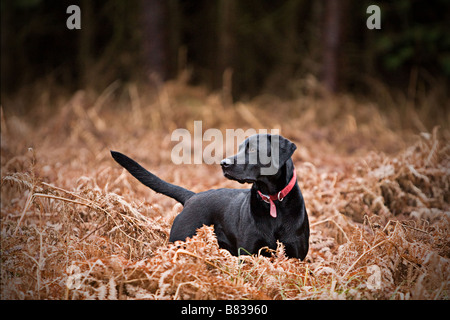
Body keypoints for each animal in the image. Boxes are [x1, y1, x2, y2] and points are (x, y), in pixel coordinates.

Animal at [112, 134, 310, 258]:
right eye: (239, 148)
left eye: (253, 150)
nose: (223, 163)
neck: (273, 201)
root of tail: (192, 197)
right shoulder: (248, 254)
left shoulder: (295, 256)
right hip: (179, 241)